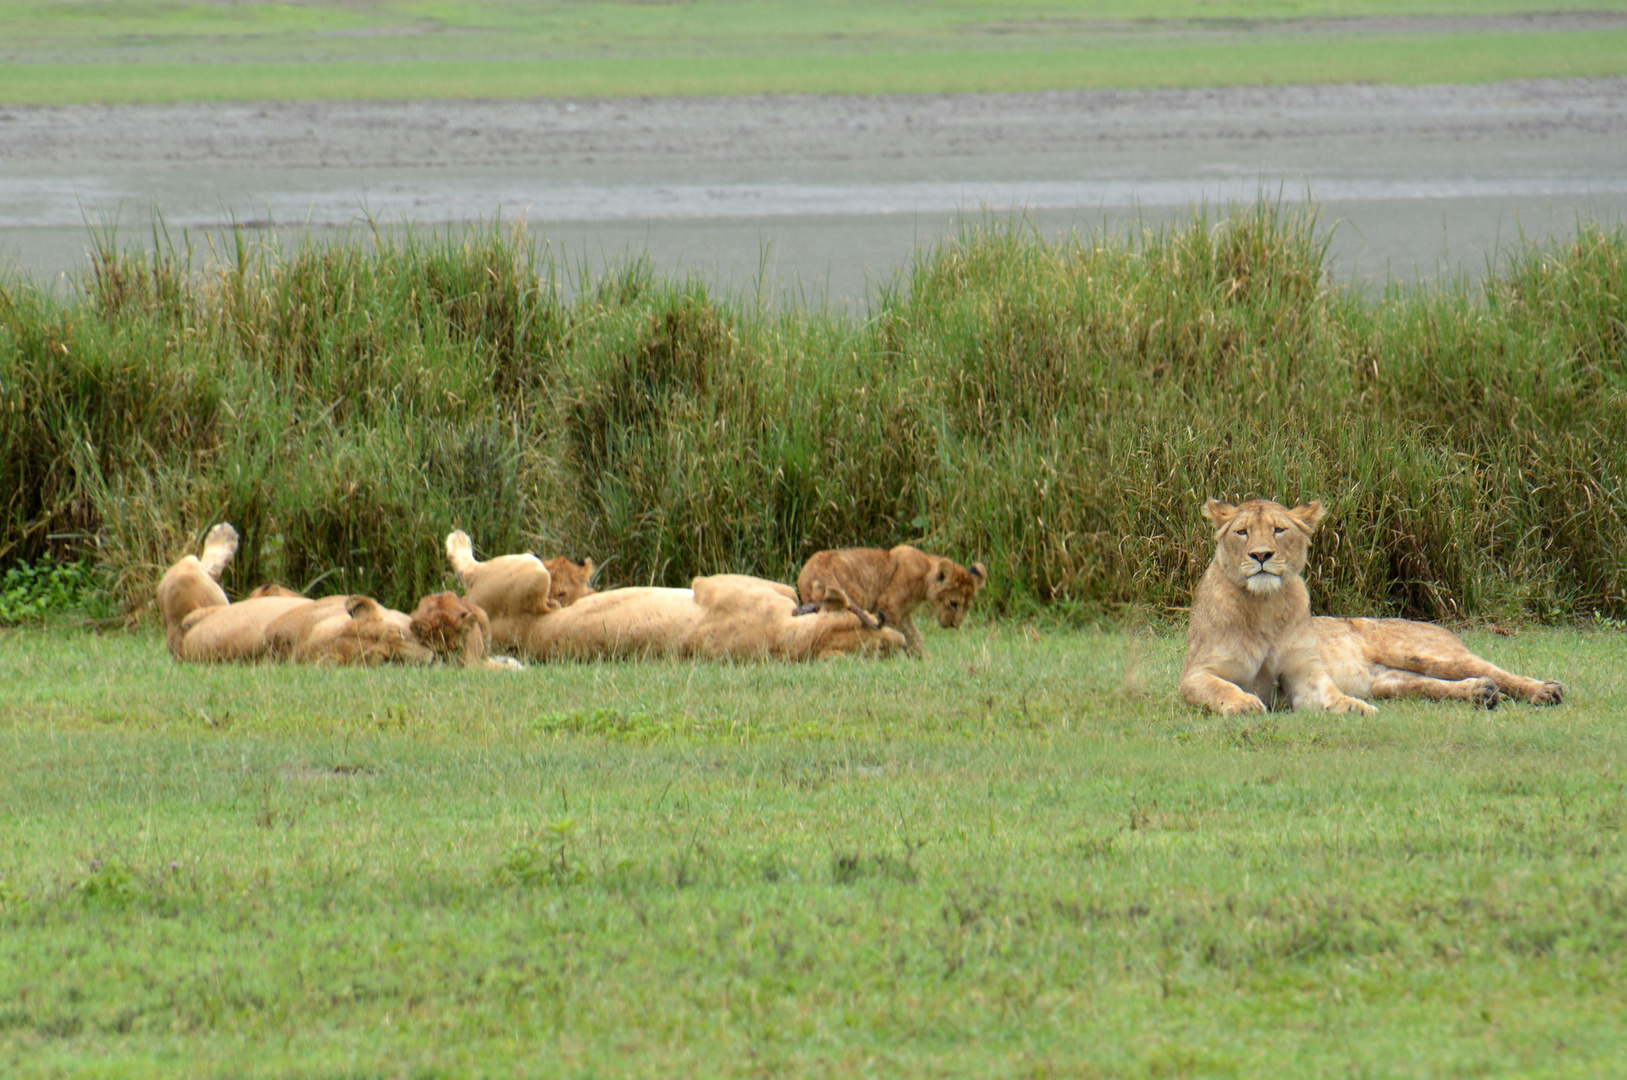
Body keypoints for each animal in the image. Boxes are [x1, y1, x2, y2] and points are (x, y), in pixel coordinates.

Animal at [1184, 497, 1561, 715]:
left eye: (1278, 530)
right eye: (1242, 532)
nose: (1261, 555)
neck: (1263, 604)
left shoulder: (1303, 672)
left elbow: (1327, 693)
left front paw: (1351, 707)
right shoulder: (1195, 673)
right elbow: (1220, 687)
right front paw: (1244, 703)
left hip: (1425, 652)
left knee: (1496, 671)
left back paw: (1544, 691)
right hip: (1390, 681)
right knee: (1432, 685)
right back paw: (1480, 693)